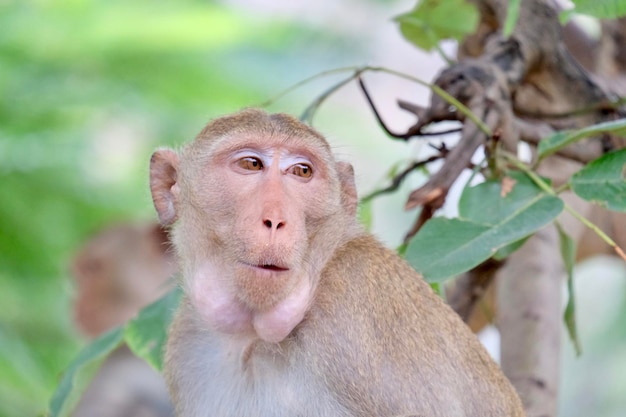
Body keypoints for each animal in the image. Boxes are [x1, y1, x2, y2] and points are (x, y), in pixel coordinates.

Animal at [149, 108, 524, 416]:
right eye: (250, 164)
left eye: (302, 171)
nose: (276, 220)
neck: (255, 338)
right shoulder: (186, 342)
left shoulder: (354, 305)